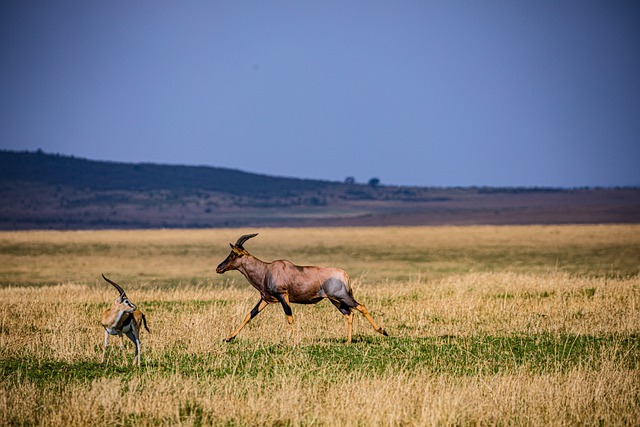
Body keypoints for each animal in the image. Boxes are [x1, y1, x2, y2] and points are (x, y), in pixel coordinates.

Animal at [215, 232, 388, 346]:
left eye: (233, 254)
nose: (219, 268)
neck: (267, 270)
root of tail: (344, 274)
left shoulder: (283, 296)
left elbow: (289, 318)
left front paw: (295, 342)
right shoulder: (266, 299)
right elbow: (249, 315)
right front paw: (228, 338)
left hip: (342, 296)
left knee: (361, 306)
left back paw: (382, 331)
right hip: (336, 300)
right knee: (349, 314)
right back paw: (348, 341)